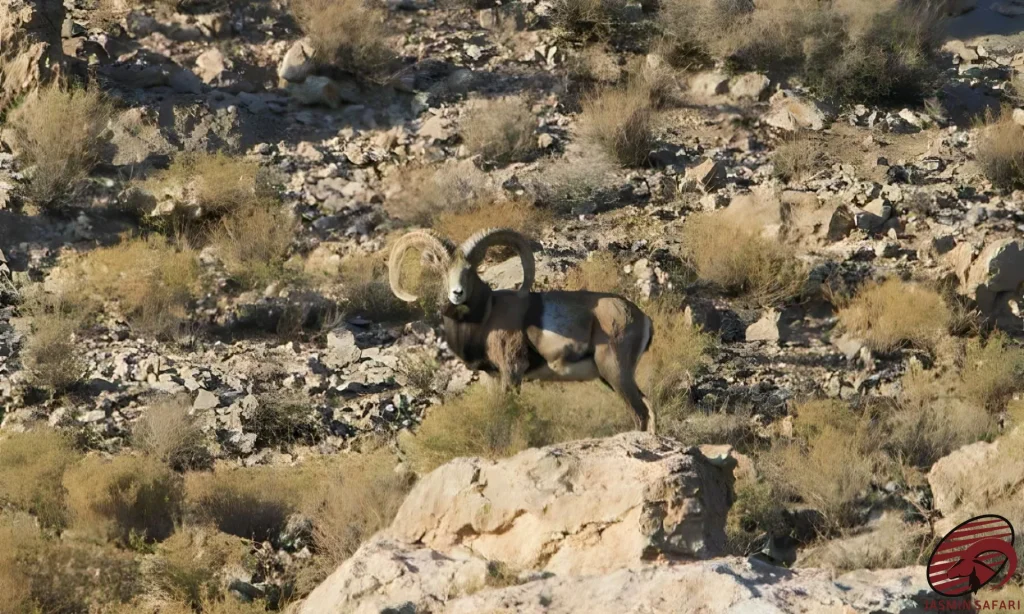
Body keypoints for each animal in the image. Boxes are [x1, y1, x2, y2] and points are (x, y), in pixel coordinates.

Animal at [388, 228, 657, 433]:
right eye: (445, 269)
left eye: (471, 269)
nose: (457, 293)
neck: (485, 317)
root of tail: (642, 318)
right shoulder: (492, 377)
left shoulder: (512, 372)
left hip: (615, 372)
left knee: (640, 413)